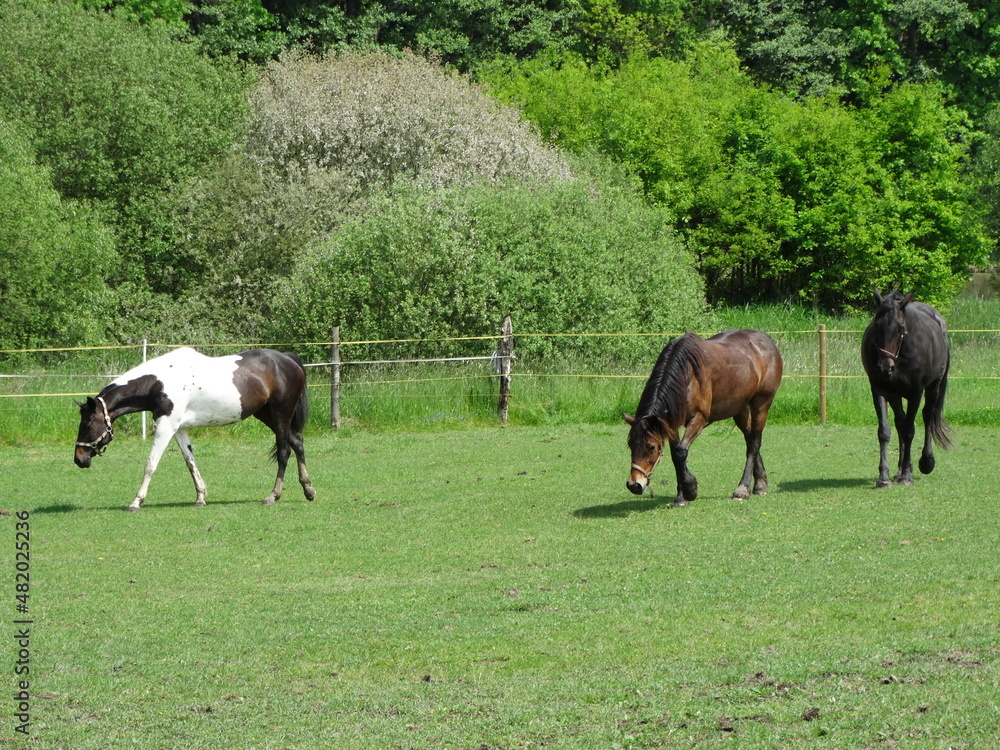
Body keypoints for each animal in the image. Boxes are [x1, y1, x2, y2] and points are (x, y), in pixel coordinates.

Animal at [74, 350, 316, 516]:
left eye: (88, 423)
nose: (78, 459)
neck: (159, 382)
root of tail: (287, 359)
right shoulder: (179, 429)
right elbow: (190, 462)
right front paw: (200, 497)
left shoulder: (166, 426)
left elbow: (150, 464)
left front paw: (136, 502)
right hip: (267, 415)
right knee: (297, 443)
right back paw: (308, 489)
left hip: (280, 415)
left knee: (284, 451)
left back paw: (273, 496)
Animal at [624, 332, 780, 508]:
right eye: (631, 445)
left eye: (651, 447)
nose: (634, 485)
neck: (686, 375)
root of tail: (766, 340)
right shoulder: (671, 424)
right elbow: (675, 456)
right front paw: (681, 497)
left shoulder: (699, 418)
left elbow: (680, 452)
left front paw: (690, 489)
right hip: (739, 408)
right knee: (750, 437)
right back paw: (761, 483)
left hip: (762, 404)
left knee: (754, 444)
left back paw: (743, 488)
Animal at [860, 286, 952, 488]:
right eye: (876, 325)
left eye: (901, 328)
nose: (884, 367)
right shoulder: (879, 390)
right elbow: (885, 432)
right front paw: (884, 477)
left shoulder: (915, 393)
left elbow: (910, 431)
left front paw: (907, 476)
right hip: (895, 395)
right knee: (900, 423)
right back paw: (901, 468)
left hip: (933, 387)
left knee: (927, 416)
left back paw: (925, 462)